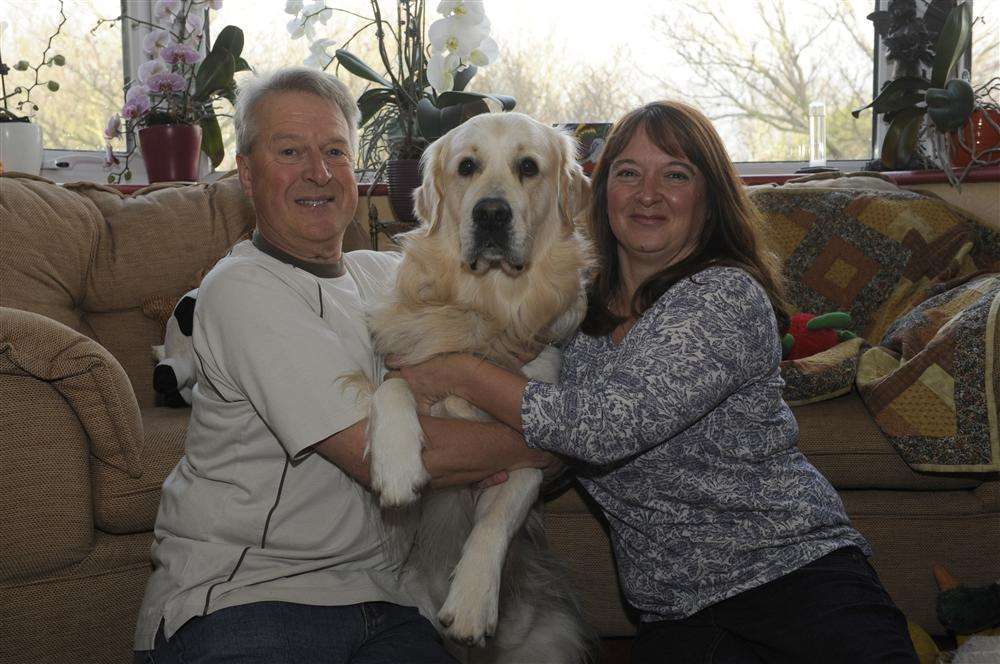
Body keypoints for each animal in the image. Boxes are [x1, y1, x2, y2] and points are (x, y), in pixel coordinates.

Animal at [366, 111, 592, 660]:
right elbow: (393, 390)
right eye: (466, 166)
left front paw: (472, 600)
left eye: (528, 166)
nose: (491, 214)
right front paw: (397, 466)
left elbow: (494, 523)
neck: (485, 306)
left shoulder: (526, 453)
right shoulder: (413, 369)